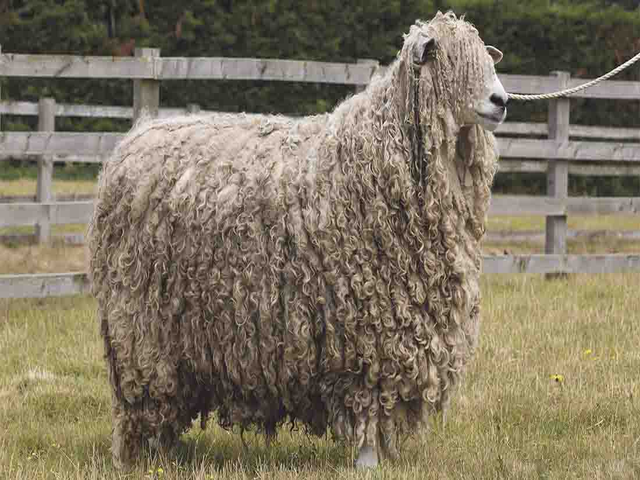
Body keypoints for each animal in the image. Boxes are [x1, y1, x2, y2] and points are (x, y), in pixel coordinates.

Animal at [88, 11, 507, 469]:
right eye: (443, 59)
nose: (501, 100)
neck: (378, 156)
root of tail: (130, 144)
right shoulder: (368, 325)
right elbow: (369, 400)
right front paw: (367, 462)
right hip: (141, 324)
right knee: (144, 395)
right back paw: (142, 458)